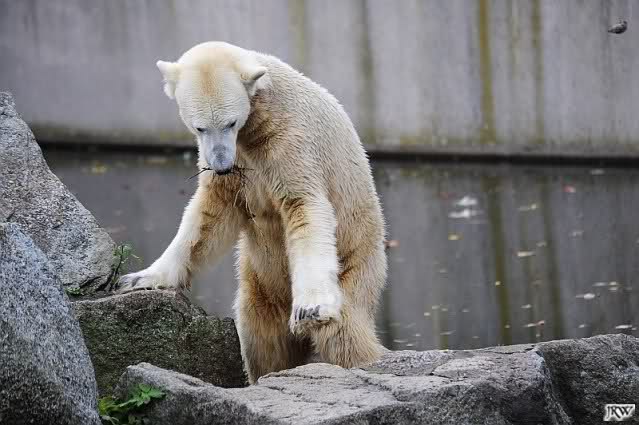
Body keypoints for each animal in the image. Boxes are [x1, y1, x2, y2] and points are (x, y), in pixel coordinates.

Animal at [118, 41, 388, 383]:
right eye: (199, 127)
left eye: (231, 122)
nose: (221, 164)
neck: (259, 120)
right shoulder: (235, 169)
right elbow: (207, 217)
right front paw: (139, 278)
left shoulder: (290, 143)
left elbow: (305, 208)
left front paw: (310, 307)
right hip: (258, 283)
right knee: (261, 336)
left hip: (356, 261)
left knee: (344, 334)